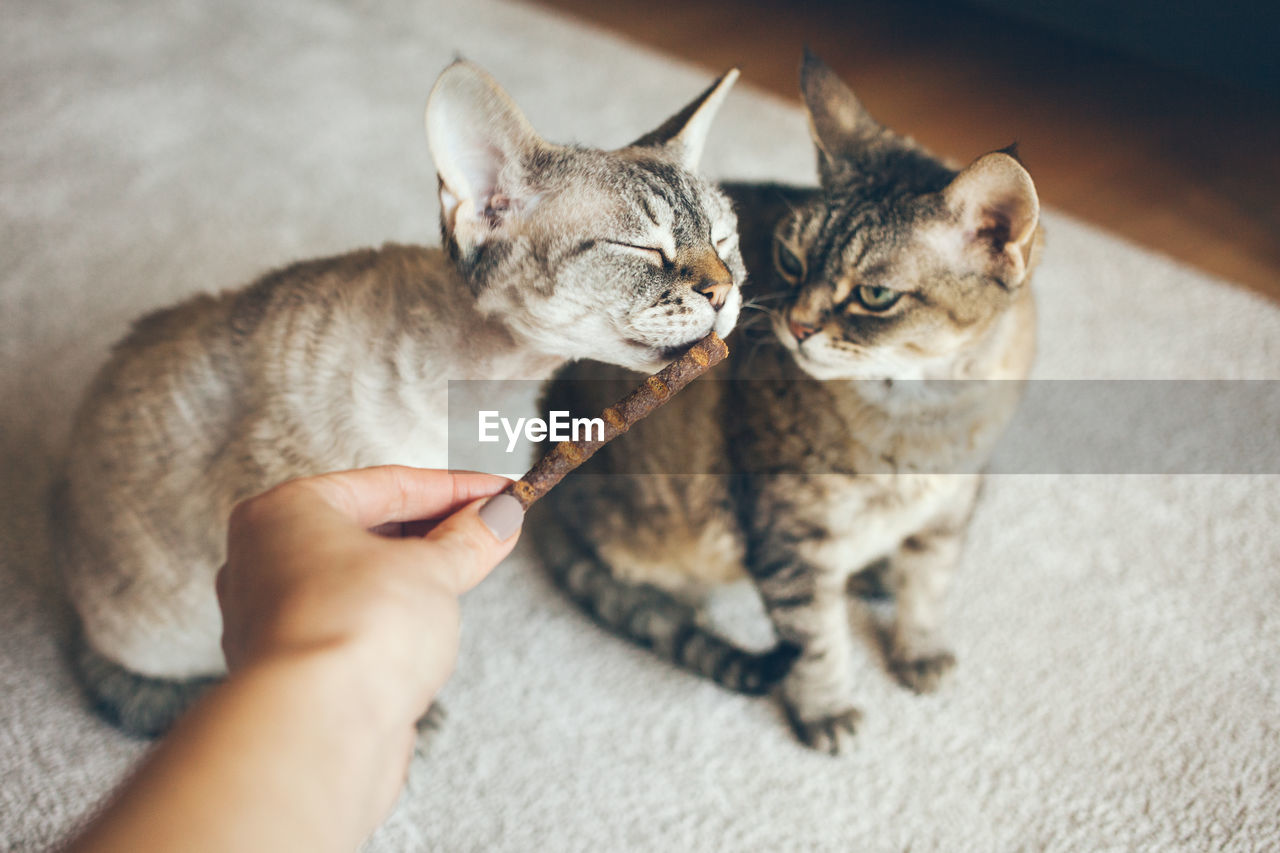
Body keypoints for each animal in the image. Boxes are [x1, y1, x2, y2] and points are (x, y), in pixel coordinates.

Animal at [529, 51, 1039, 753]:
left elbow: (928, 587)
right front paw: (826, 710)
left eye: (875, 295)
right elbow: (818, 642)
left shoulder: (951, 508)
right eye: (791, 260)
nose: (795, 325)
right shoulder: (790, 539)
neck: (922, 412)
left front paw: (919, 648)